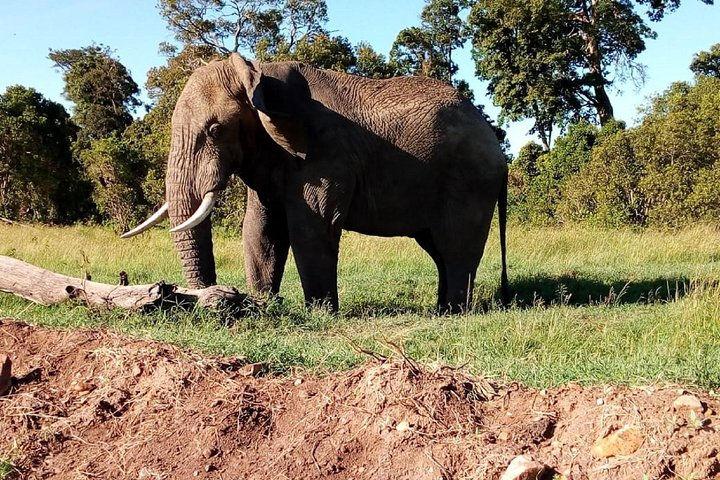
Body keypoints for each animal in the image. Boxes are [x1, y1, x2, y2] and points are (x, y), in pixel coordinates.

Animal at [122, 54, 506, 314]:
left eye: (216, 130)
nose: (206, 300)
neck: (258, 74)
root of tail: (496, 144)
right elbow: (260, 230)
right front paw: (264, 305)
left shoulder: (325, 154)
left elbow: (311, 228)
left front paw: (320, 314)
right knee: (437, 249)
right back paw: (440, 310)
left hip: (470, 182)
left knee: (456, 249)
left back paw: (454, 312)